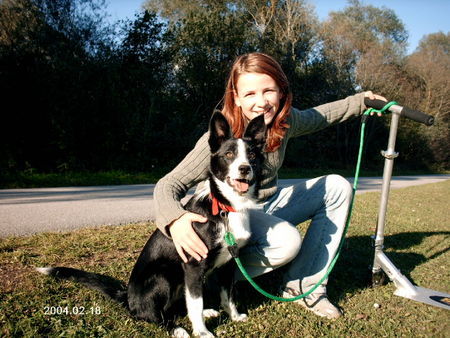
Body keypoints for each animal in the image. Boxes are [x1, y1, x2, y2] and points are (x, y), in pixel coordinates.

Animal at [37, 112, 268, 336]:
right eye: (229, 155)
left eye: (252, 156)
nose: (245, 169)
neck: (226, 207)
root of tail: (127, 297)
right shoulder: (193, 264)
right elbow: (195, 303)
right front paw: (202, 332)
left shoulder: (229, 262)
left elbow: (228, 295)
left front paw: (234, 317)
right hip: (164, 275)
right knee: (151, 315)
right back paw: (177, 329)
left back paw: (206, 312)